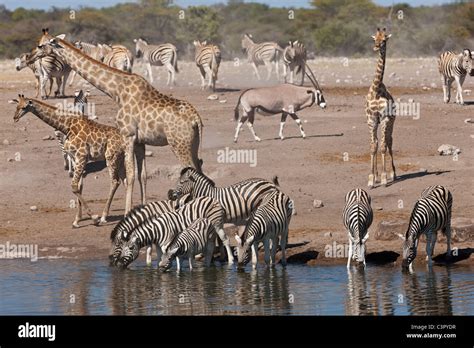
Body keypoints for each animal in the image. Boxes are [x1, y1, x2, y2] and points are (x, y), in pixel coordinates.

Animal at [9, 94, 126, 228]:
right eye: (16, 106)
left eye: (24, 107)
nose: (15, 118)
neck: (66, 126)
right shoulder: (76, 157)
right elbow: (80, 186)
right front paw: (77, 220)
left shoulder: (82, 156)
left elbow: (74, 186)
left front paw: (94, 218)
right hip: (121, 159)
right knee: (126, 181)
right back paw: (127, 213)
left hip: (111, 157)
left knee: (115, 181)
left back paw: (103, 217)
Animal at [27, 28, 202, 211]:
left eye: (40, 45)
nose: (29, 57)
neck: (116, 91)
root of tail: (196, 119)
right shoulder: (140, 141)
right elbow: (143, 175)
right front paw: (143, 207)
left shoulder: (128, 136)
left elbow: (130, 175)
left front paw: (127, 212)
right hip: (193, 143)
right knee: (199, 168)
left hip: (179, 144)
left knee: (191, 171)